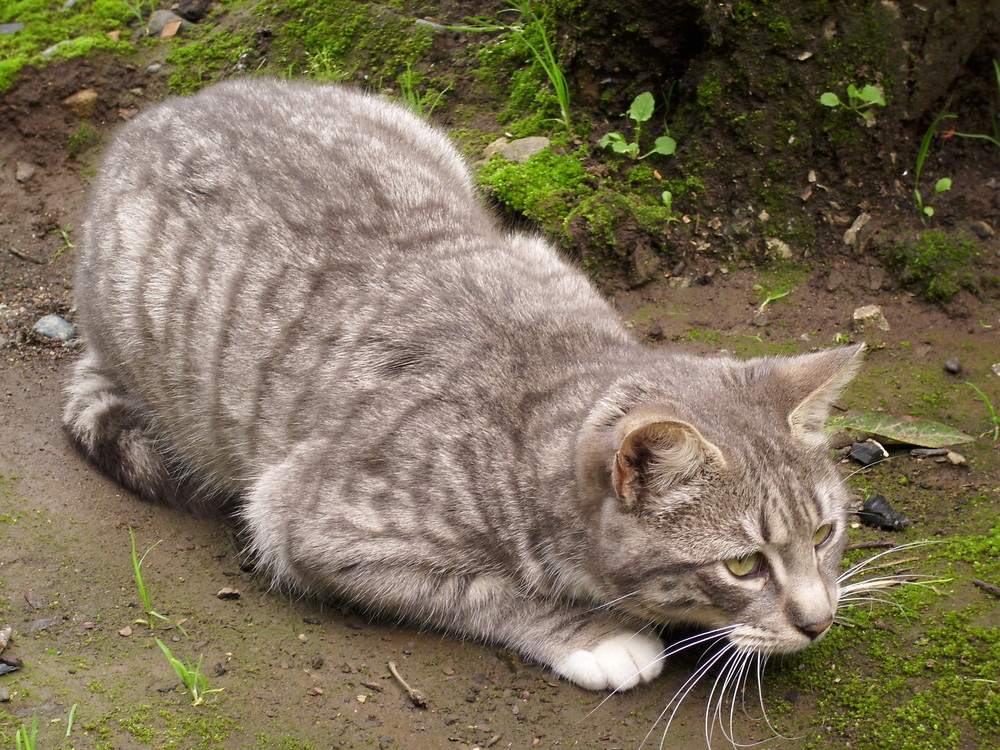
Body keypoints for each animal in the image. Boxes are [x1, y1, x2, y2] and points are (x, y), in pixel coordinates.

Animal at [62, 76, 864, 692]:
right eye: (743, 564)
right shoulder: (307, 521)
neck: (545, 384)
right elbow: (485, 590)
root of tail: (174, 103)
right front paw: (596, 634)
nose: (818, 620)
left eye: (825, 533)